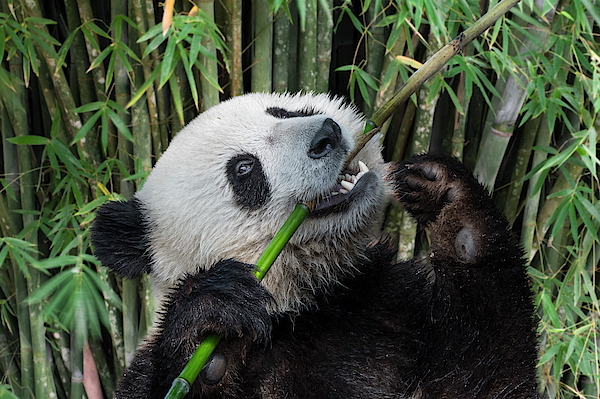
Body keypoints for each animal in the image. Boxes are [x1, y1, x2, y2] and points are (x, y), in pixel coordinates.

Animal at [92, 92, 540, 398]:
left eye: (285, 112)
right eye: (243, 169)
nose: (326, 135)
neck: (303, 308)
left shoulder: (385, 307)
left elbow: (485, 374)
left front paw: (449, 203)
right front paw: (210, 326)